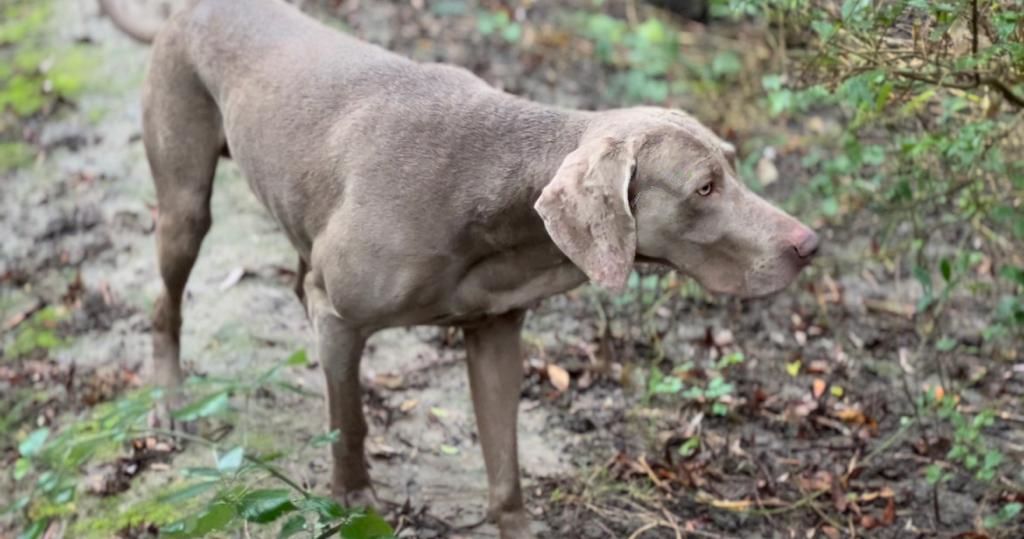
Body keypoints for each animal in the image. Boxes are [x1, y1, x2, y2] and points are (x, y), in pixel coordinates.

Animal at [101, 1, 823, 536]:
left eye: (733, 165)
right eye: (704, 187)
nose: (810, 243)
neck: (496, 204)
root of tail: (185, 11)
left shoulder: (495, 330)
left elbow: (505, 464)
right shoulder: (342, 319)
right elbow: (351, 423)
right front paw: (353, 498)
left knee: (296, 276)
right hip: (184, 202)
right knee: (167, 303)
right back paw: (168, 405)